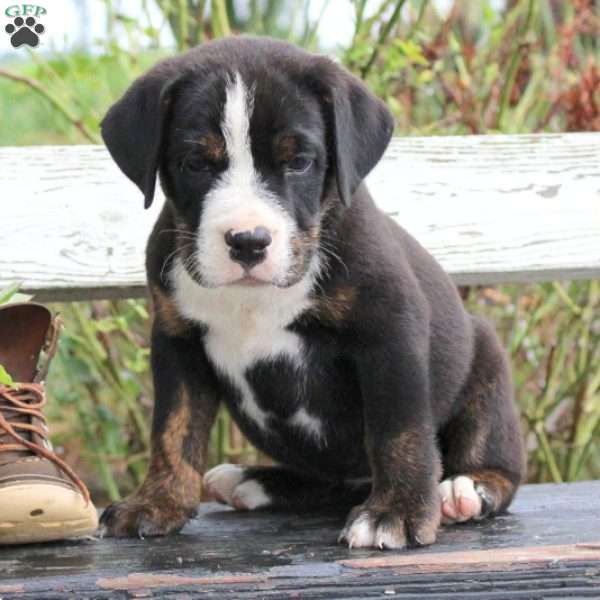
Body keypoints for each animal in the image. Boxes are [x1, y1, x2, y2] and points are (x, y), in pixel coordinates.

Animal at [101, 36, 524, 548]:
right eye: (195, 163)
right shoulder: (177, 341)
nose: (248, 241)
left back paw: (467, 488)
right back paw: (255, 480)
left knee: (497, 459)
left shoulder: (391, 333)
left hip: (487, 362)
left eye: (299, 162)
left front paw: (397, 512)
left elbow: (399, 429)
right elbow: (174, 428)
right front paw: (158, 501)